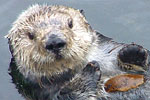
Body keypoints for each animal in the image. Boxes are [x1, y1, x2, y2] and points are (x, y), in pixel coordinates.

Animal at [6, 4, 150, 100]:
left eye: (70, 23)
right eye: (30, 35)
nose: (54, 42)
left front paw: (133, 53)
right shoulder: (42, 91)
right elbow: (69, 94)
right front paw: (89, 70)